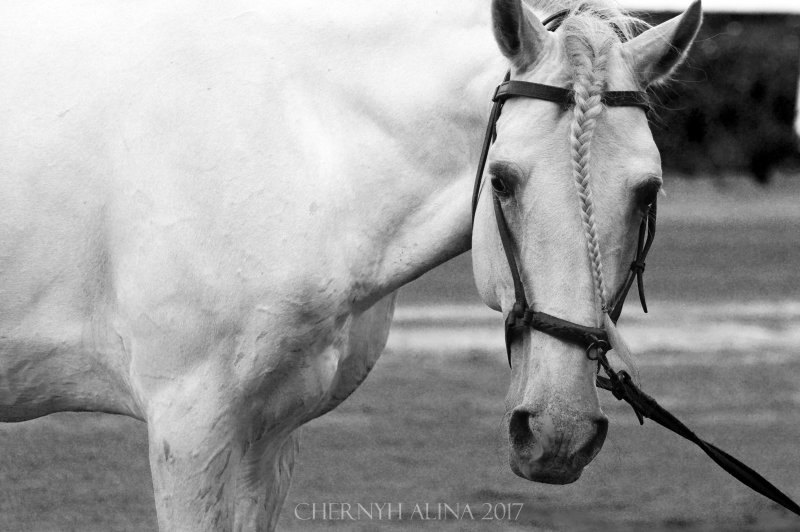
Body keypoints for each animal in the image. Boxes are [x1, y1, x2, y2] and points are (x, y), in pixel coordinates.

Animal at [0, 1, 700, 528]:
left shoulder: (266, 434)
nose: (559, 433)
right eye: (502, 180)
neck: (300, 142)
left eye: (647, 192)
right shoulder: (189, 426)